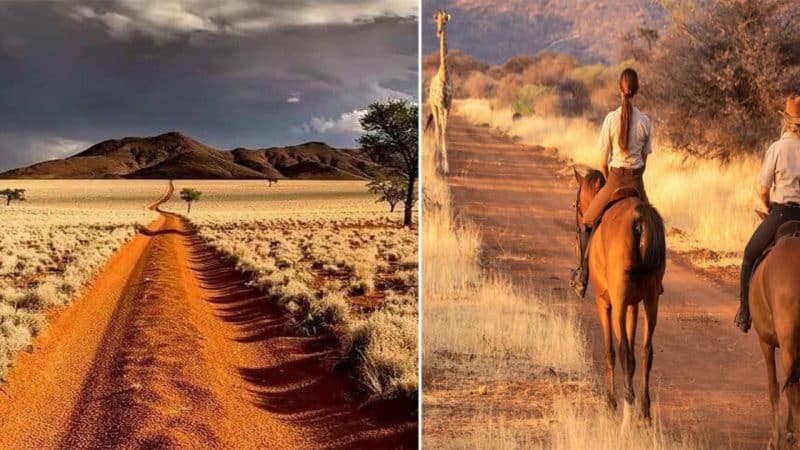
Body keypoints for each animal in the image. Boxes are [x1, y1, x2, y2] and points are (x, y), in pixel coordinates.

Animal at [572, 167, 664, 428]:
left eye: (576, 203)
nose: (579, 223)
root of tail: (639, 219)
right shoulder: (634, 306)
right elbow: (633, 352)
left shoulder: (605, 303)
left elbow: (610, 350)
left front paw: (610, 401)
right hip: (652, 300)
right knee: (646, 351)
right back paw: (644, 410)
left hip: (619, 301)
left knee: (622, 350)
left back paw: (626, 410)